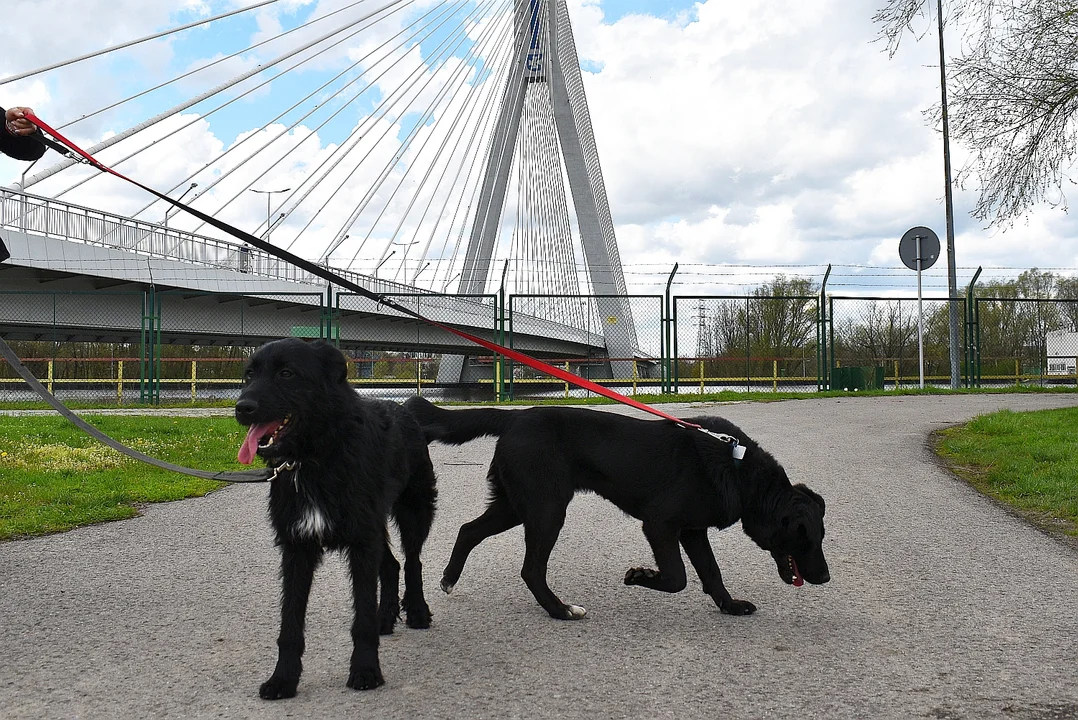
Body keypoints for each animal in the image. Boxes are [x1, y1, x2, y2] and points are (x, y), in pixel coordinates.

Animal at [236, 340, 437, 698]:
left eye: (286, 373)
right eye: (249, 374)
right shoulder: (297, 547)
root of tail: (406, 411)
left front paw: (366, 670)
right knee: (391, 565)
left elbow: (361, 619)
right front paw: (283, 679)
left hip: (414, 510)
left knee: (413, 561)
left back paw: (416, 610)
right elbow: (290, 623)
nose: (241, 407)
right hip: (376, 524)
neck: (315, 457)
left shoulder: (361, 544)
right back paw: (386, 617)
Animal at [407, 394, 827, 620]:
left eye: (821, 536)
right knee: (530, 569)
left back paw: (449, 579)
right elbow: (677, 578)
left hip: (515, 504)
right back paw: (560, 610)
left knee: (469, 530)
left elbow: (711, 573)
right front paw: (640, 576)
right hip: (546, 510)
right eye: (803, 537)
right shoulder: (660, 525)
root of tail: (514, 417)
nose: (824, 578)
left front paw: (730, 606)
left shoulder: (693, 531)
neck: (740, 469)